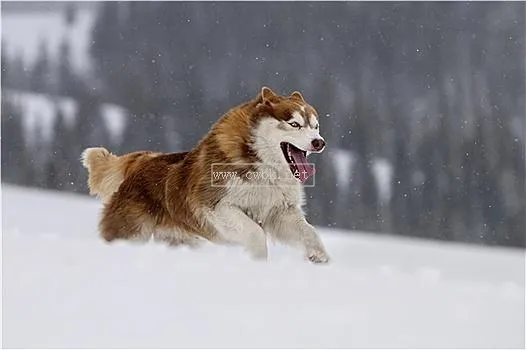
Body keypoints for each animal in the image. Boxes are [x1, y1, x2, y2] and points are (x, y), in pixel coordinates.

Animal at [81, 87, 330, 262]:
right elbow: (256, 233)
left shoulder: (279, 212)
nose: (319, 142)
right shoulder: (215, 206)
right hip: (131, 232)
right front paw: (257, 263)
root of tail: (141, 160)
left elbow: (310, 233)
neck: (263, 165)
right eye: (294, 124)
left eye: (316, 126)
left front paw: (319, 257)